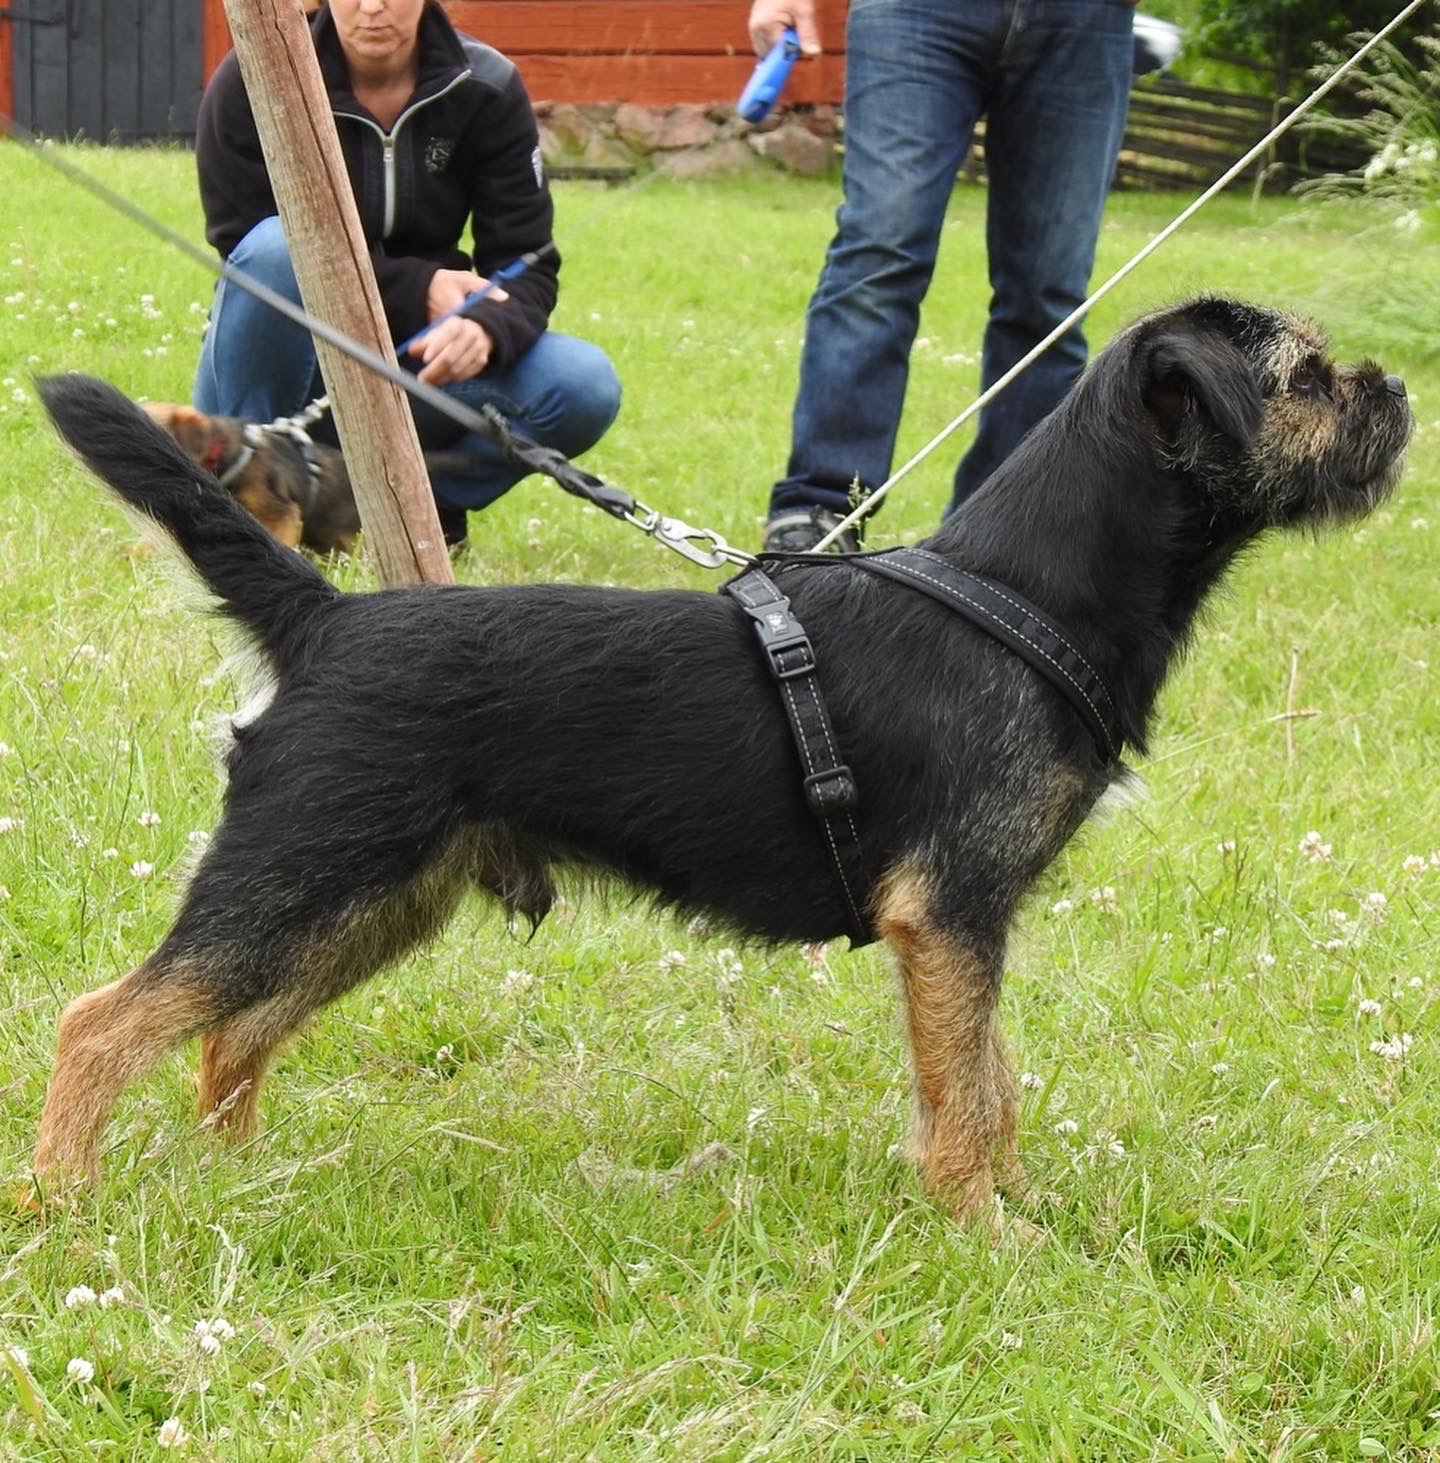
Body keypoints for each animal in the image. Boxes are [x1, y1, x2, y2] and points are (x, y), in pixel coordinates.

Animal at [33, 297, 1412, 1223]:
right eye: (1306, 376)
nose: (1396, 390)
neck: (1025, 588)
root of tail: (326, 618)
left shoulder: (971, 923)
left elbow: (993, 1078)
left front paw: (1019, 1208)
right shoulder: (950, 914)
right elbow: (966, 1093)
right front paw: (983, 1230)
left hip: (372, 897)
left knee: (232, 1033)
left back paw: (240, 1184)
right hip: (301, 873)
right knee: (104, 1021)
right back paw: (61, 1204)